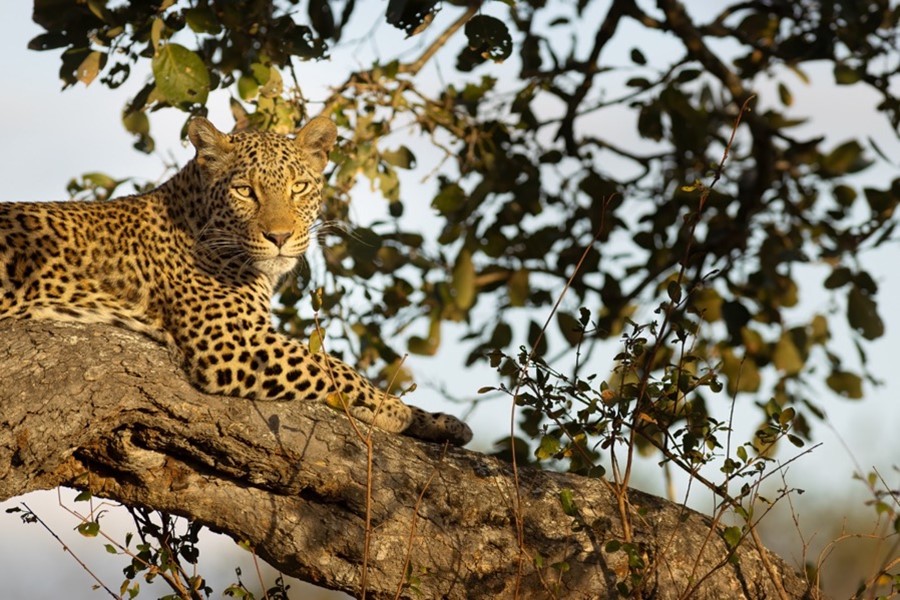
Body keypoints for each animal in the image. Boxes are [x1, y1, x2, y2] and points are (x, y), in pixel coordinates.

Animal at [0, 116, 474, 446]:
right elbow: (331, 366)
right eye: (245, 191)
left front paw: (439, 422)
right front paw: (392, 409)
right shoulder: (229, 341)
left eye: (299, 187)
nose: (279, 237)